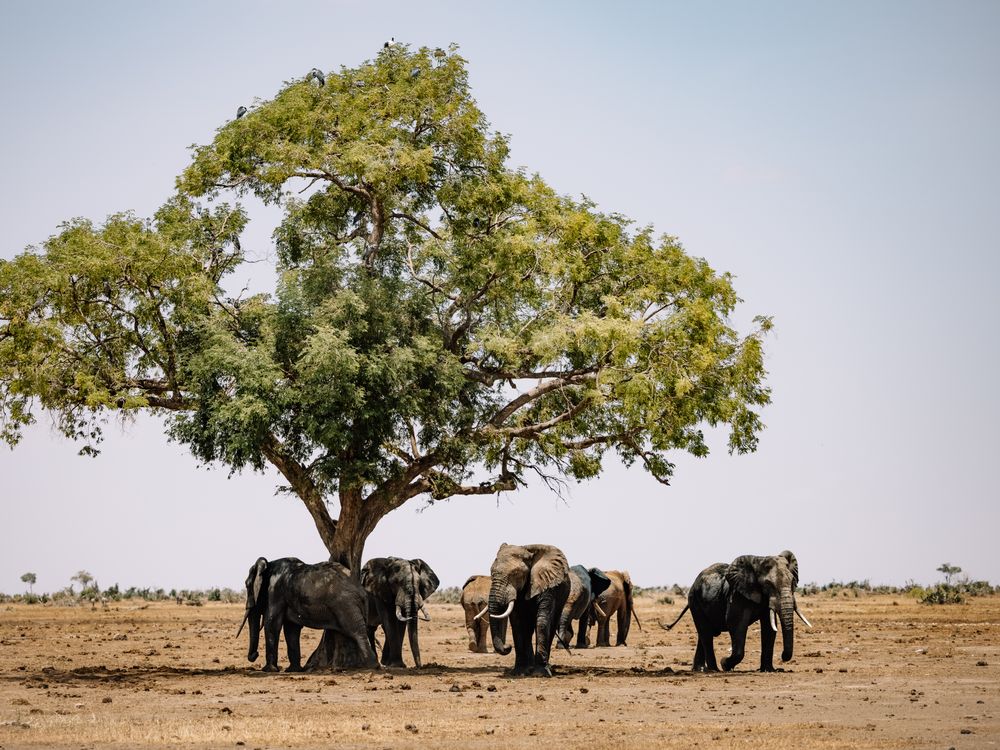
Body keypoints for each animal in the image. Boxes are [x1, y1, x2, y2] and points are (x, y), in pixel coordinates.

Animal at [238, 556, 377, 672]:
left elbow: (272, 623)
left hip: (346, 604)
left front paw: (269, 670)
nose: (254, 655)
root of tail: (361, 590)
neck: (268, 565)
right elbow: (291, 629)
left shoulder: (275, 590)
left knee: (357, 632)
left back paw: (371, 666)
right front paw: (293, 670)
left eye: (247, 585)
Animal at [487, 543, 571, 677]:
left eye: (516, 573)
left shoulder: (546, 583)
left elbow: (542, 620)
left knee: (551, 625)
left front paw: (540, 673)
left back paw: (546, 668)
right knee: (528, 629)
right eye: (491, 572)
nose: (507, 647)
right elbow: (517, 624)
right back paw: (529, 668)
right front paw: (519, 672)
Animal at [662, 550, 812, 672]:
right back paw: (714, 670)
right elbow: (736, 623)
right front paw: (725, 664)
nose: (783, 656)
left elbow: (769, 628)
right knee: (705, 633)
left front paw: (769, 670)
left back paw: (699, 669)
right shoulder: (737, 595)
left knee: (704, 633)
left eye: (792, 581)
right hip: (695, 601)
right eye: (768, 584)